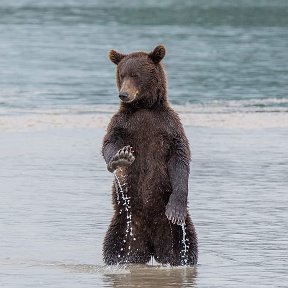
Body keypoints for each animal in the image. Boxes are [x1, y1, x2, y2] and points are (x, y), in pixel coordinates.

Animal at [102, 44, 198, 266]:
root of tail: (152, 248)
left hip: (175, 233)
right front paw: (120, 158)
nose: (123, 94)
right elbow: (109, 143)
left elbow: (180, 159)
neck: (144, 107)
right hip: (124, 226)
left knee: (188, 247)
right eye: (122, 74)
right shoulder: (123, 124)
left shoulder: (169, 127)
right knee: (113, 248)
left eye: (136, 75)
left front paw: (175, 210)